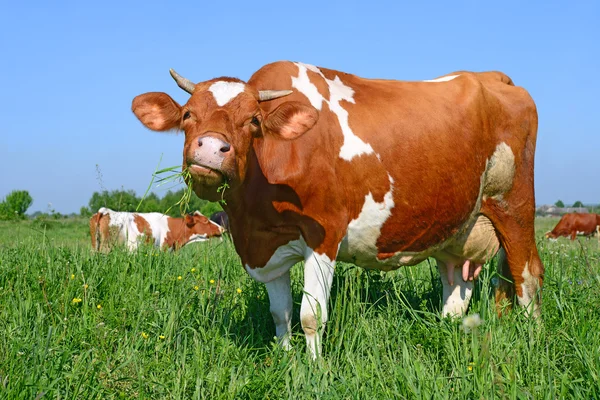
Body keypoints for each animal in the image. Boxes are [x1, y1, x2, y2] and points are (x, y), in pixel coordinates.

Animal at [132, 61, 544, 358]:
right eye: (188, 115)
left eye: (253, 121)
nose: (210, 149)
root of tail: (492, 76)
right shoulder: (266, 245)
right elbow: (280, 314)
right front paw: (285, 358)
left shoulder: (323, 234)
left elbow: (310, 315)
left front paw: (314, 368)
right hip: (455, 227)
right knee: (459, 287)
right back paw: (449, 330)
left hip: (515, 206)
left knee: (528, 276)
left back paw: (531, 336)